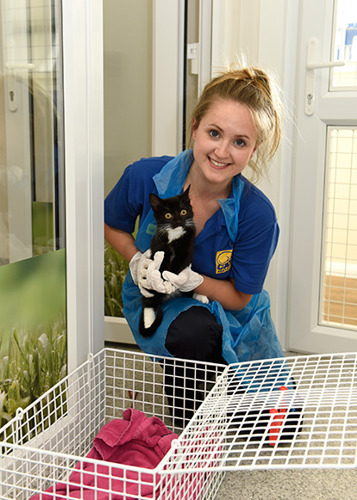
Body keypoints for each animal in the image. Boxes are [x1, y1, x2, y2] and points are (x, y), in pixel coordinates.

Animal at [139, 186, 206, 338]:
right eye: (168, 215)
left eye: (183, 211)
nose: (179, 221)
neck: (174, 236)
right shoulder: (158, 247)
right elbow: (160, 266)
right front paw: (163, 282)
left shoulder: (186, 250)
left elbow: (176, 266)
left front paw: (169, 282)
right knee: (148, 301)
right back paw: (149, 321)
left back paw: (200, 296)